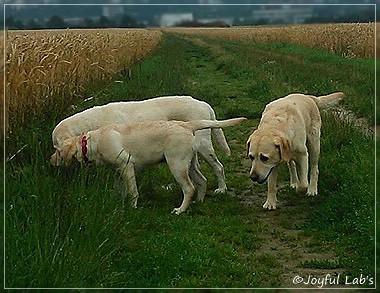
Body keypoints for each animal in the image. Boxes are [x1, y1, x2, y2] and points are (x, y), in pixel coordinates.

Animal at [50, 94, 235, 193]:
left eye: (57, 149)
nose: (52, 163)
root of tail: (204, 104)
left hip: (204, 145)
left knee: (218, 167)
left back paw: (221, 189)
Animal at [52, 117, 246, 214]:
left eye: (58, 152)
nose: (50, 160)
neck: (91, 143)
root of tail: (187, 125)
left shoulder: (126, 165)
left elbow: (133, 191)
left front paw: (132, 206)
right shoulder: (118, 170)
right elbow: (118, 188)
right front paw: (117, 200)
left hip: (176, 164)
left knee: (189, 187)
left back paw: (180, 210)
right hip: (188, 163)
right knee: (202, 180)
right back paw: (198, 201)